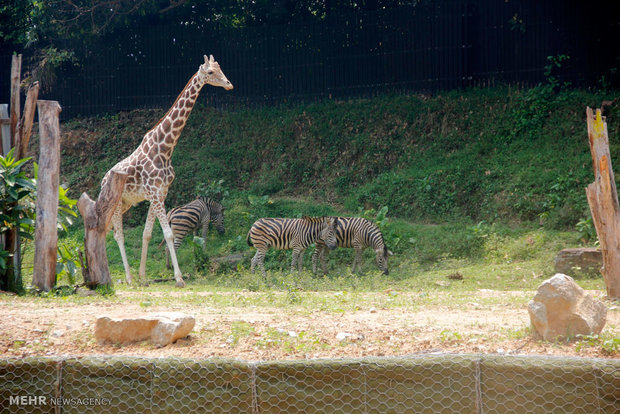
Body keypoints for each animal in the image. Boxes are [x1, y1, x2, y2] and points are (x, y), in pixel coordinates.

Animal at [101, 54, 232, 288]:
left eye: (220, 68)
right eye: (210, 72)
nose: (229, 84)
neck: (165, 148)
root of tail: (102, 181)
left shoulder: (160, 194)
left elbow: (146, 234)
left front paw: (144, 276)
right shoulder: (155, 194)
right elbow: (169, 234)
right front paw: (179, 278)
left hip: (125, 205)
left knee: (107, 232)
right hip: (115, 204)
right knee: (117, 235)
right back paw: (126, 277)